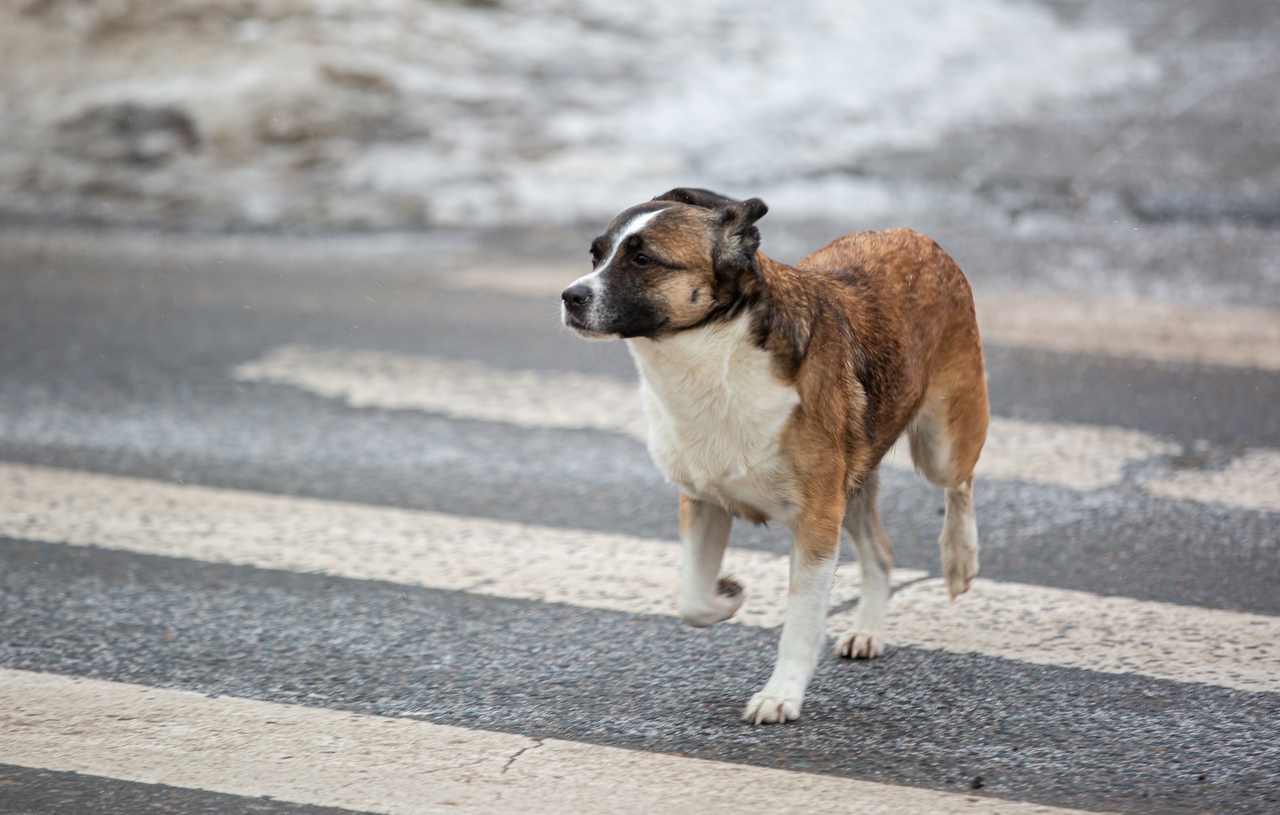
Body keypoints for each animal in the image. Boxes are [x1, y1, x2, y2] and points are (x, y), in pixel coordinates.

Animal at [560, 190, 988, 726]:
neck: (714, 356)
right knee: (882, 553)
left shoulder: (817, 523)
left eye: (643, 260)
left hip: (939, 443)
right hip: (853, 482)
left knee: (960, 483)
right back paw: (869, 629)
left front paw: (781, 694)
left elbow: (801, 621)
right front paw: (727, 597)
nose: (569, 296)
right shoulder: (704, 500)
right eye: (595, 256)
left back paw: (959, 559)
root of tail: (913, 235)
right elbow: (691, 599)